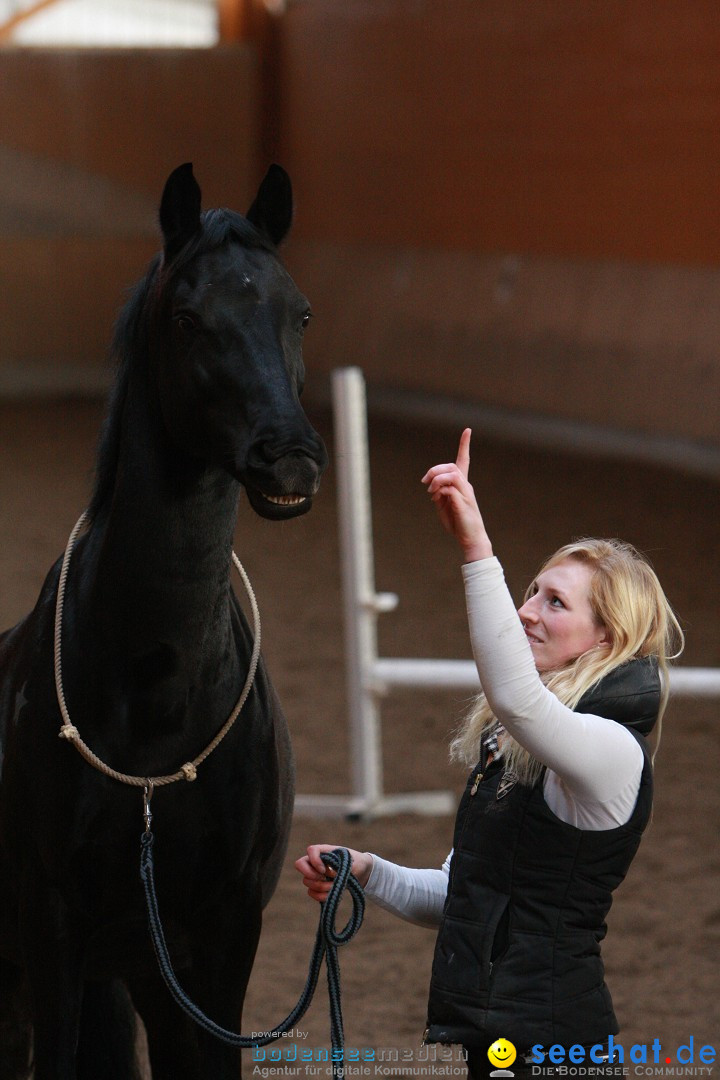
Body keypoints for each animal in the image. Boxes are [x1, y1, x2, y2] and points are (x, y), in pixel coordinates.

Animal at [0, 162, 330, 1080]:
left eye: (299, 311)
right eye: (188, 318)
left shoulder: (219, 939)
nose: (290, 458)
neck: (156, 687)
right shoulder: (52, 932)